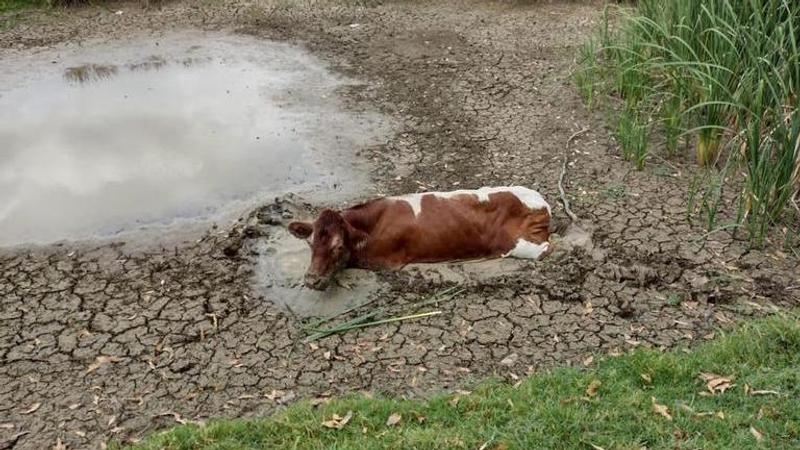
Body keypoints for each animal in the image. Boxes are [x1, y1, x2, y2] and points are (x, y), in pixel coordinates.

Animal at [286, 185, 552, 288]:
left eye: (338, 246)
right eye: (310, 244)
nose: (311, 280)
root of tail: (541, 201)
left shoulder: (385, 262)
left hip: (523, 246)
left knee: (547, 248)